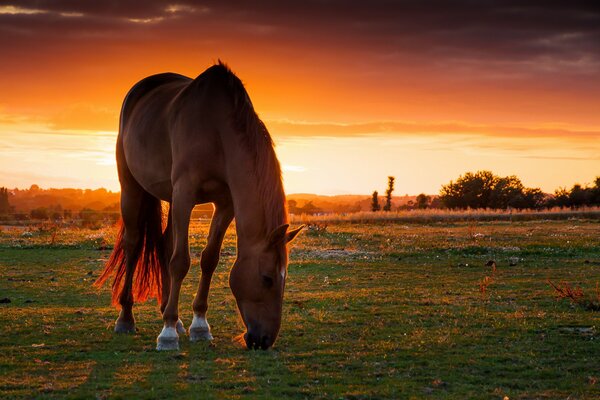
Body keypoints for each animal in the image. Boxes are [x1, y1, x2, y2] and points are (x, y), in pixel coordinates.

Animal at [94, 61, 304, 350]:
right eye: (267, 278)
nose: (264, 340)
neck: (217, 130)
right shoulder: (185, 193)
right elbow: (180, 261)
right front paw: (167, 333)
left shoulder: (225, 204)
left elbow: (209, 259)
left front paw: (199, 325)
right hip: (132, 188)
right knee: (134, 245)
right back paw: (127, 318)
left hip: (170, 198)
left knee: (164, 245)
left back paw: (172, 315)